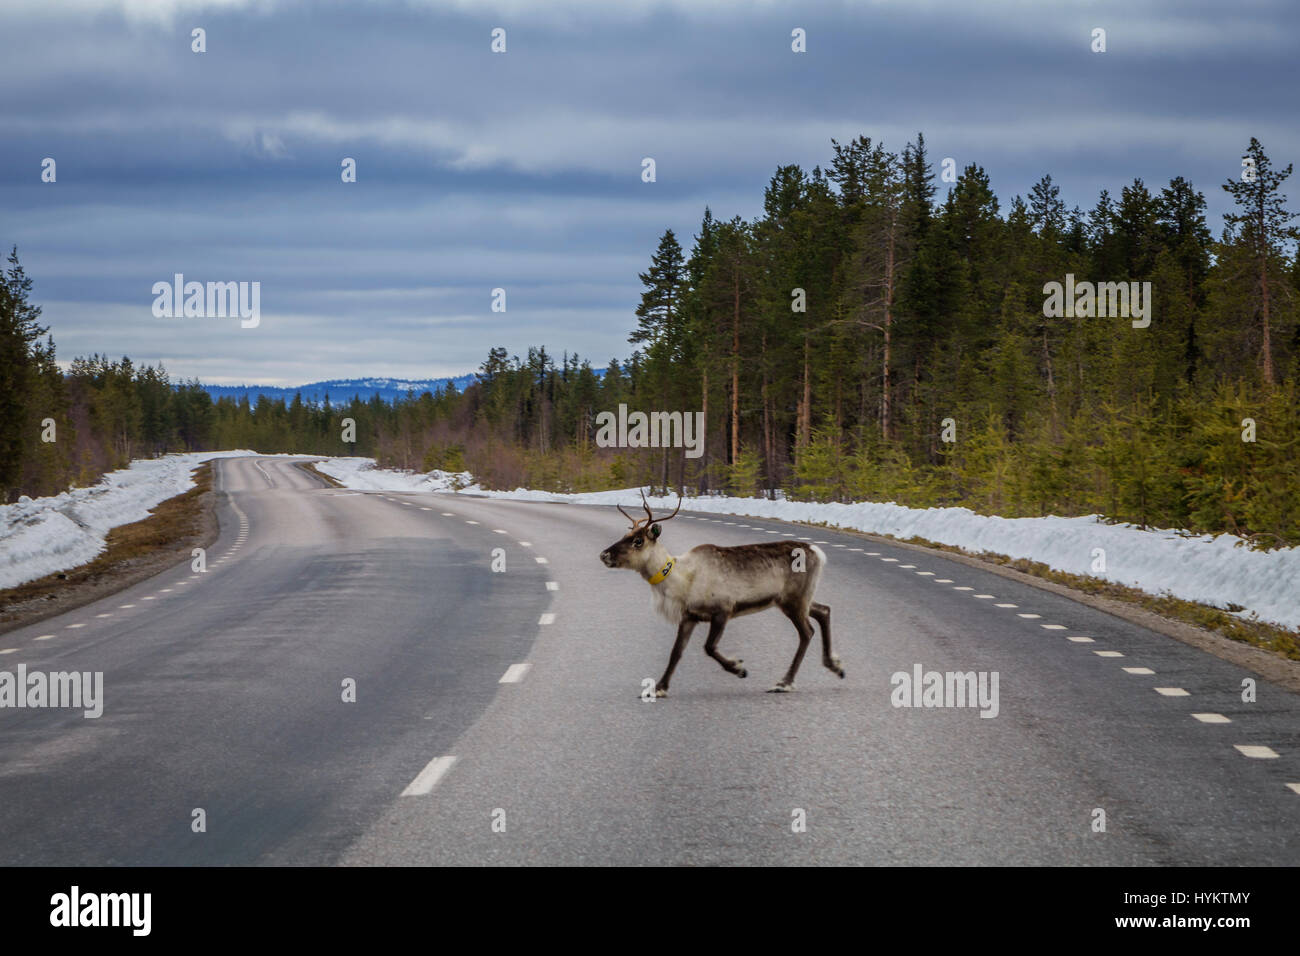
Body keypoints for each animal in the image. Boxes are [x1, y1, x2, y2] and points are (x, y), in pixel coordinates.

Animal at [598, 490, 842, 697]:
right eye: (626, 534)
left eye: (638, 541)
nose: (604, 554)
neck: (681, 579)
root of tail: (817, 552)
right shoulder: (689, 617)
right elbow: (676, 652)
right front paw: (659, 687)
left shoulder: (723, 610)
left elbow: (709, 647)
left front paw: (739, 668)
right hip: (797, 599)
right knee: (824, 610)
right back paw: (835, 666)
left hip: (794, 601)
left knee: (807, 632)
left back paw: (784, 683)